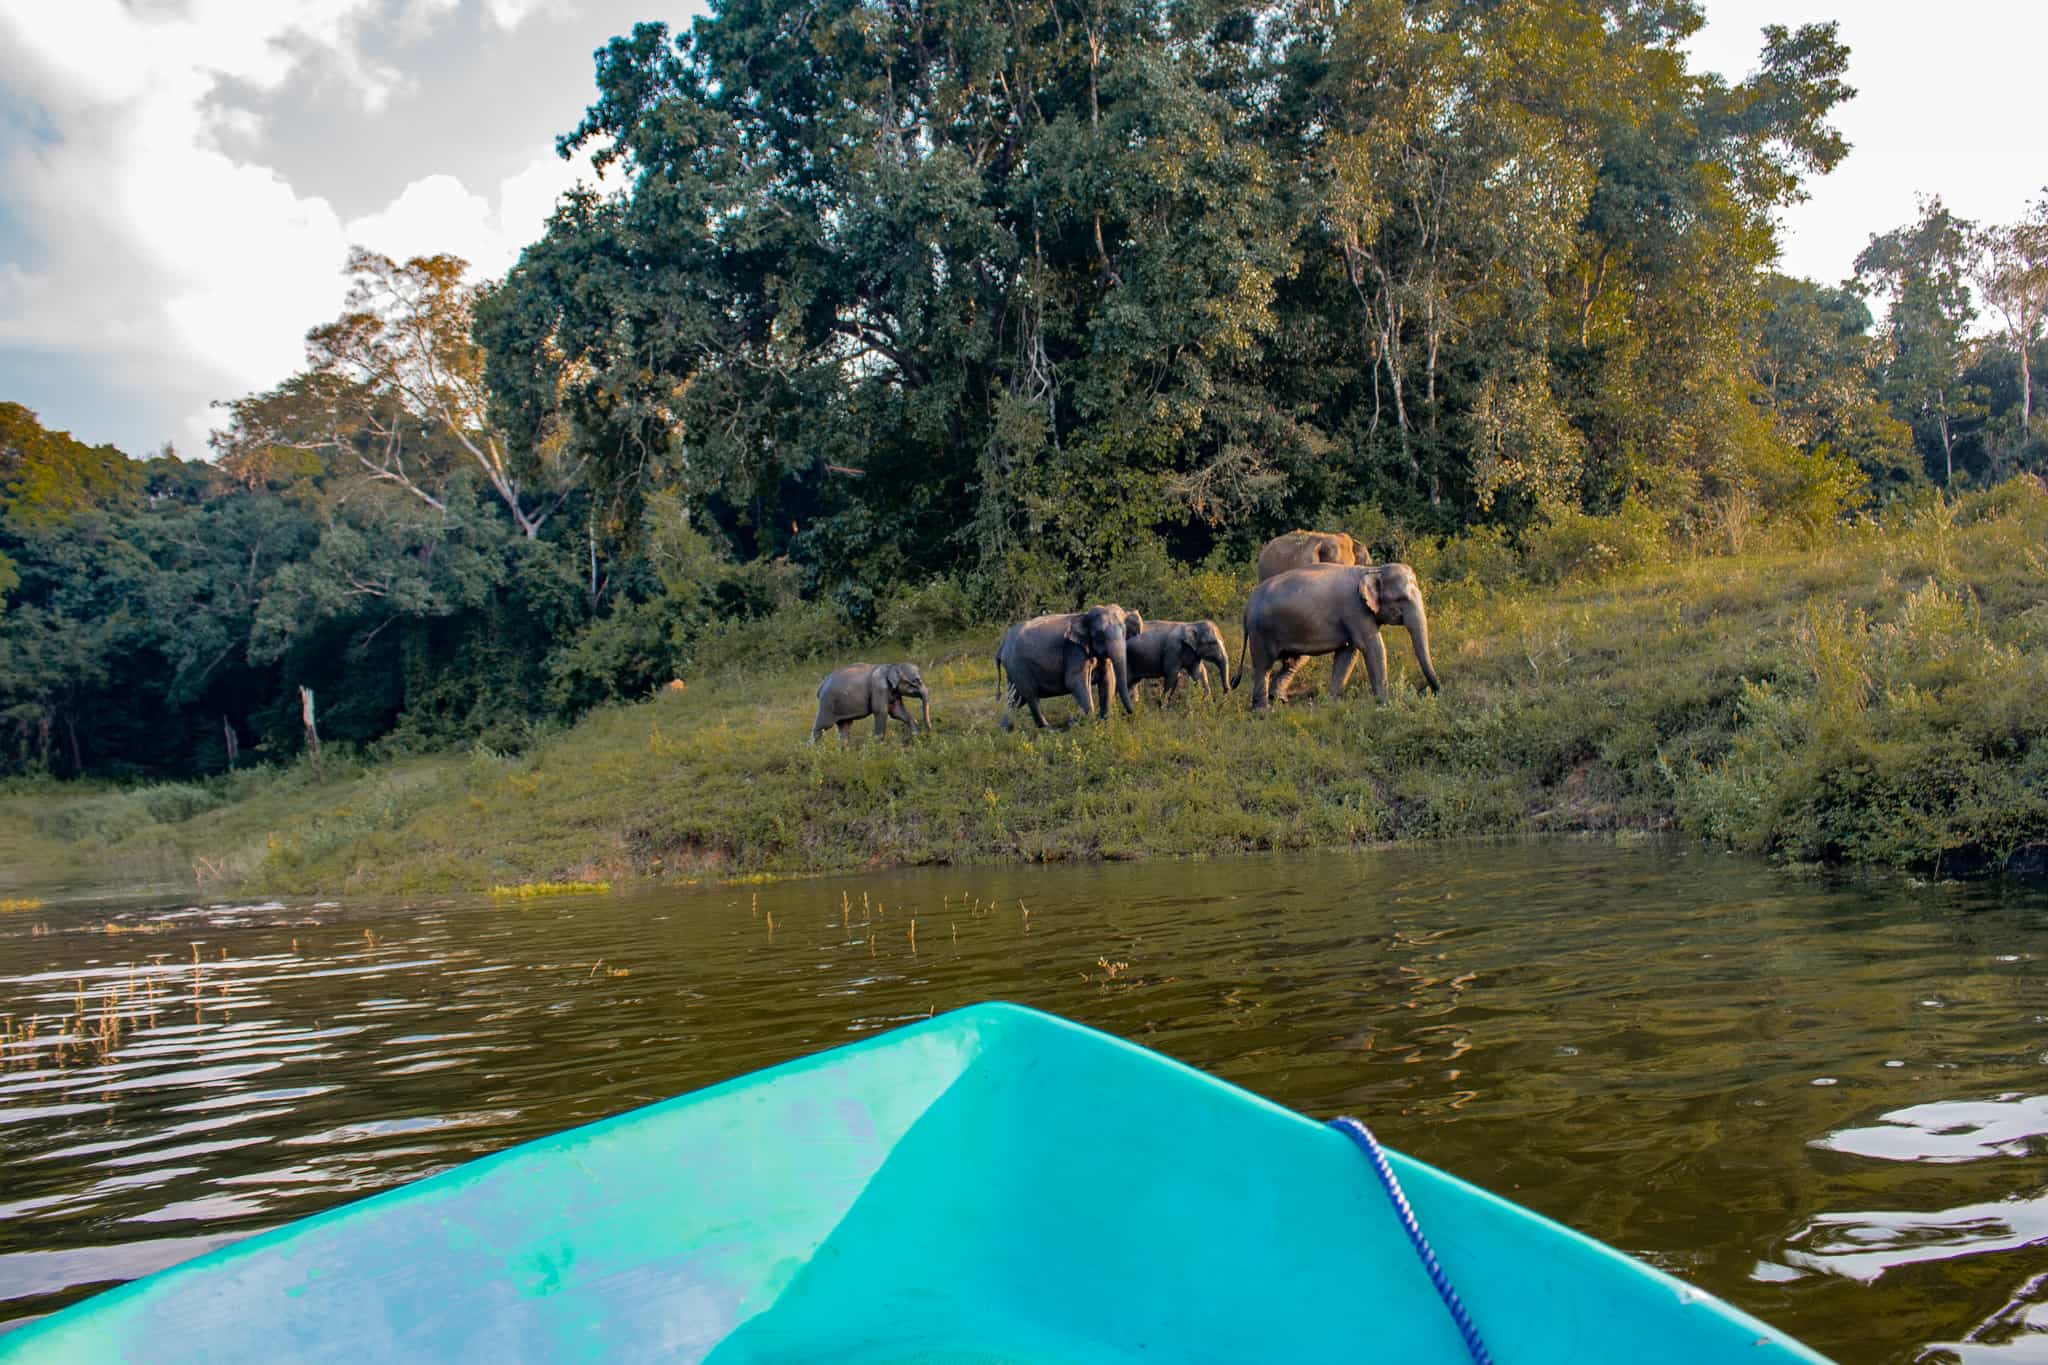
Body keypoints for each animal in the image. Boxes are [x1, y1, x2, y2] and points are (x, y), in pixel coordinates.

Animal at [995, 605, 1146, 732]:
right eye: (1100, 635)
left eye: (1124, 632)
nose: (1131, 713)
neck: (1084, 616)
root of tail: (1002, 644)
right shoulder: (1073, 649)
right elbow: (1074, 682)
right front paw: (1090, 725)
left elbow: (1108, 680)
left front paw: (1106, 725)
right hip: (1018, 666)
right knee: (1030, 696)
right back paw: (1049, 731)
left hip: (1013, 669)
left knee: (1015, 699)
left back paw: (1005, 730)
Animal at [1228, 564, 1441, 716]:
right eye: (1401, 599)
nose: (1437, 692)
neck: (1372, 569)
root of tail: (1247, 606)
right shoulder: (1355, 610)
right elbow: (1372, 647)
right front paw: (1385, 704)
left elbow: (1348, 653)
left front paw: (1333, 703)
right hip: (1261, 631)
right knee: (1263, 665)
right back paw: (1263, 711)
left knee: (1295, 660)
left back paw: (1279, 699)